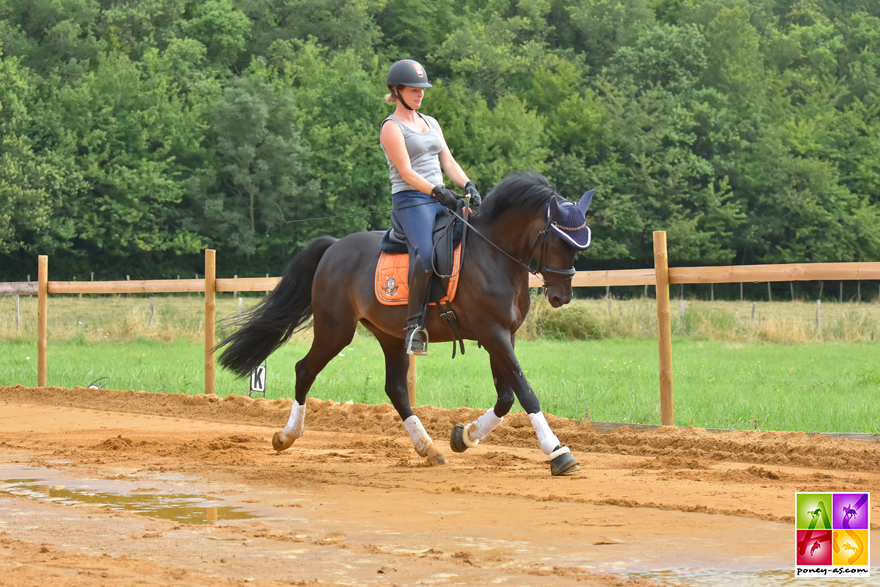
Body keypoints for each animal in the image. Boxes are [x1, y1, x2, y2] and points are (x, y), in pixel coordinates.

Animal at [217, 172, 596, 476]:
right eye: (558, 239)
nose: (562, 296)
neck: (493, 256)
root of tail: (334, 247)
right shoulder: (493, 333)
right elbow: (525, 391)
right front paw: (558, 452)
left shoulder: (504, 335)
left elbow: (506, 397)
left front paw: (464, 437)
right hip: (335, 329)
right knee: (304, 370)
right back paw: (287, 436)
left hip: (391, 336)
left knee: (396, 389)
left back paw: (429, 448)